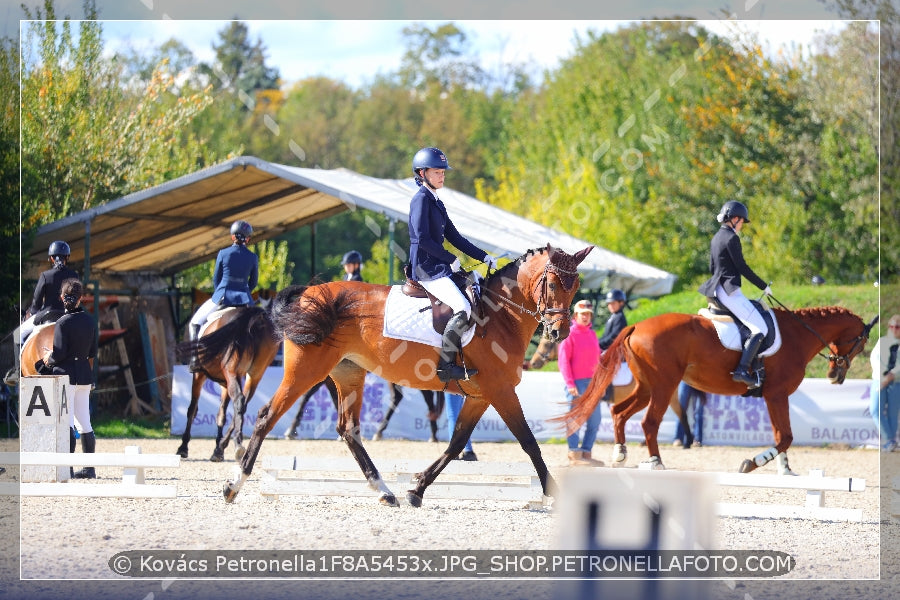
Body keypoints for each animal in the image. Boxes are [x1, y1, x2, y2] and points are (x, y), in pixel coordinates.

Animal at [173, 308, 278, 462]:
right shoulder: (225, 384)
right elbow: (221, 414)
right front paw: (218, 447)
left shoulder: (199, 375)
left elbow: (192, 410)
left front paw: (183, 448)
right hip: (254, 375)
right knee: (242, 404)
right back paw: (224, 447)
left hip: (231, 371)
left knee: (239, 400)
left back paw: (236, 443)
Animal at [222, 244, 596, 506]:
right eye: (551, 283)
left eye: (575, 284)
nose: (559, 331)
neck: (499, 315)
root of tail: (307, 294)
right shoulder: (500, 390)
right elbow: (528, 442)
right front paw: (555, 492)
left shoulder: (480, 395)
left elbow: (456, 443)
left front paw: (417, 488)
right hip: (306, 371)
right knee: (267, 416)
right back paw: (234, 484)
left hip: (348, 373)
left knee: (349, 429)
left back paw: (385, 491)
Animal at [568, 308, 876, 472]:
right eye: (860, 343)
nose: (835, 376)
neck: (797, 336)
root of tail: (636, 326)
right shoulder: (776, 395)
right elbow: (786, 436)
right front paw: (753, 462)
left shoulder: (777, 397)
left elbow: (783, 435)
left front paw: (785, 469)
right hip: (664, 386)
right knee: (649, 422)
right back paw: (656, 461)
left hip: (646, 387)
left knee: (619, 412)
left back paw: (620, 454)